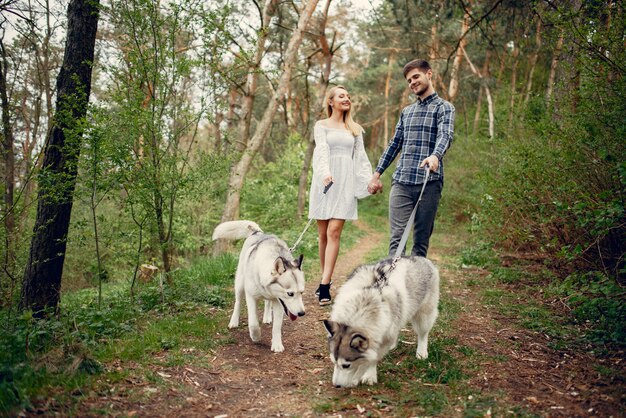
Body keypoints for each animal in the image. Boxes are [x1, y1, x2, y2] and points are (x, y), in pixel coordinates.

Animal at [212, 220, 304, 352]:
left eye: (302, 292)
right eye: (290, 293)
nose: (302, 313)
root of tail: (258, 232)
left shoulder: (279, 301)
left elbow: (277, 327)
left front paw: (277, 345)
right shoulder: (251, 297)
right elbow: (253, 322)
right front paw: (255, 336)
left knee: (267, 302)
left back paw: (267, 317)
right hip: (240, 284)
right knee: (238, 302)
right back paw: (234, 321)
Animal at [322, 256, 438, 386]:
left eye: (346, 365)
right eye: (333, 362)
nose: (336, 385)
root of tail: (422, 258)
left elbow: (373, 359)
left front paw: (368, 375)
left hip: (424, 315)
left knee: (423, 334)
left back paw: (421, 352)